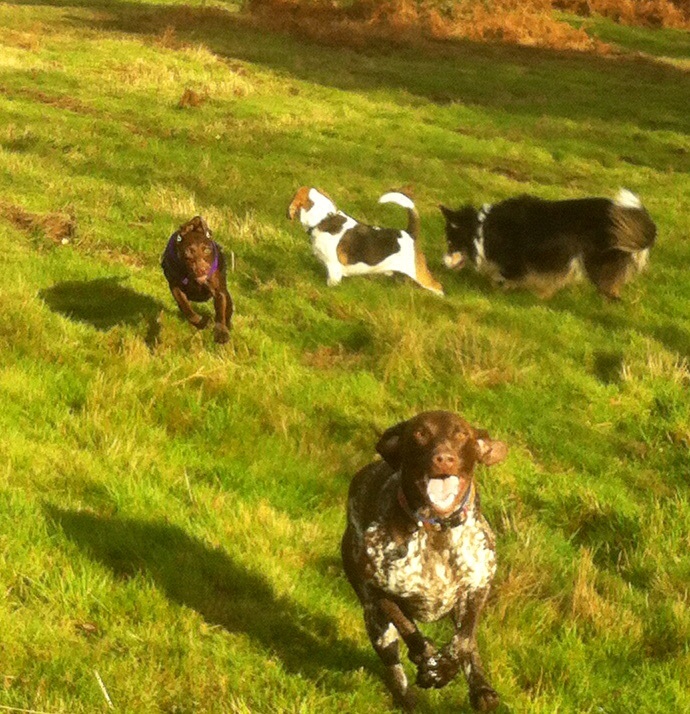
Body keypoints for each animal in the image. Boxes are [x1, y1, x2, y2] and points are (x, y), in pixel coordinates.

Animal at [341, 410, 507, 712]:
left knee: (469, 644)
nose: (443, 458)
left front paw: (446, 669)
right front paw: (429, 662)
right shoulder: (377, 592)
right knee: (395, 667)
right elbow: (410, 629)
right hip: (375, 622)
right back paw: (409, 696)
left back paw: (481, 688)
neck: (436, 529)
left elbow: (464, 640)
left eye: (461, 434)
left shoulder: (478, 588)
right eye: (420, 433)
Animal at [440, 189, 656, 299]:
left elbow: (501, 277)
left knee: (610, 291)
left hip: (595, 263)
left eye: (450, 242)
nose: (442, 263)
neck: (482, 230)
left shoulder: (519, 263)